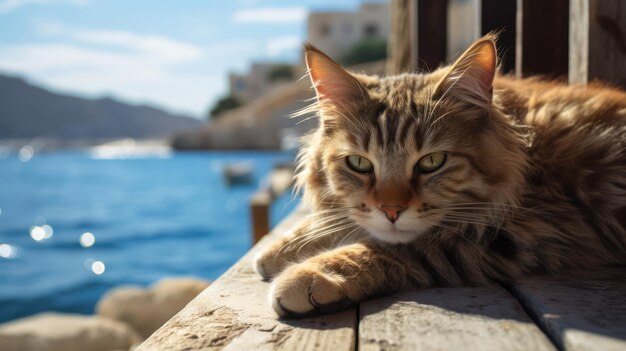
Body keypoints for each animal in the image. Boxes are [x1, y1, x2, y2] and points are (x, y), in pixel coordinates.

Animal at [252, 35, 624, 320]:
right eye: (359, 163)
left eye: (432, 161)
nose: (390, 210)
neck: (527, 148)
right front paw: (285, 246)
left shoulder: (537, 226)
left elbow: (395, 248)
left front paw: (311, 274)